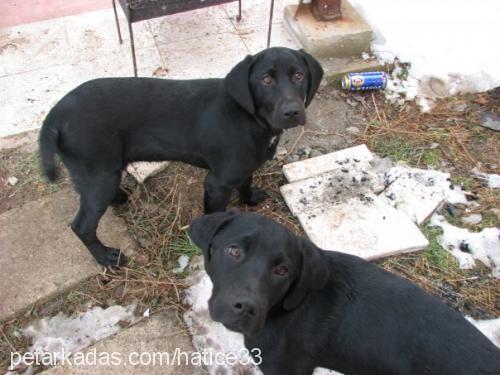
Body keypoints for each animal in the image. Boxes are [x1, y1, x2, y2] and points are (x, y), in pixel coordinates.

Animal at [37, 47, 322, 268]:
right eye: (266, 80)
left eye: (298, 75)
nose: (292, 112)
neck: (250, 117)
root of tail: (55, 114)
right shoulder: (217, 182)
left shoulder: (243, 166)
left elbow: (246, 182)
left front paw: (250, 200)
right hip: (98, 173)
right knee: (82, 226)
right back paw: (105, 257)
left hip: (102, 172)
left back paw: (118, 198)